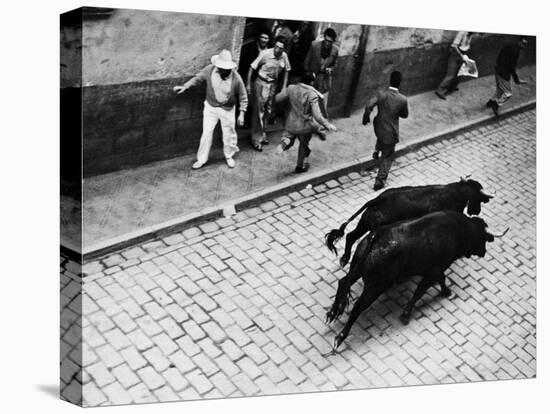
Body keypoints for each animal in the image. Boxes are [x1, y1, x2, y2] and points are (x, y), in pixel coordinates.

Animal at [326, 212, 512, 350]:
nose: (483, 252)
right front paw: (406, 314)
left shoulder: (436, 269)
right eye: (482, 236)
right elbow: (420, 291)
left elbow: (440, 280)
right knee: (357, 307)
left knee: (343, 282)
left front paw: (446, 291)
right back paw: (340, 337)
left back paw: (332, 312)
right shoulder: (434, 270)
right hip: (376, 286)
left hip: (356, 270)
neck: (457, 230)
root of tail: (375, 235)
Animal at [328, 179, 496, 268]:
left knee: (350, 236)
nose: (476, 211)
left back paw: (344, 259)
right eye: (479, 198)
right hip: (371, 227)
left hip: (364, 223)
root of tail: (379, 199)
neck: (455, 194)